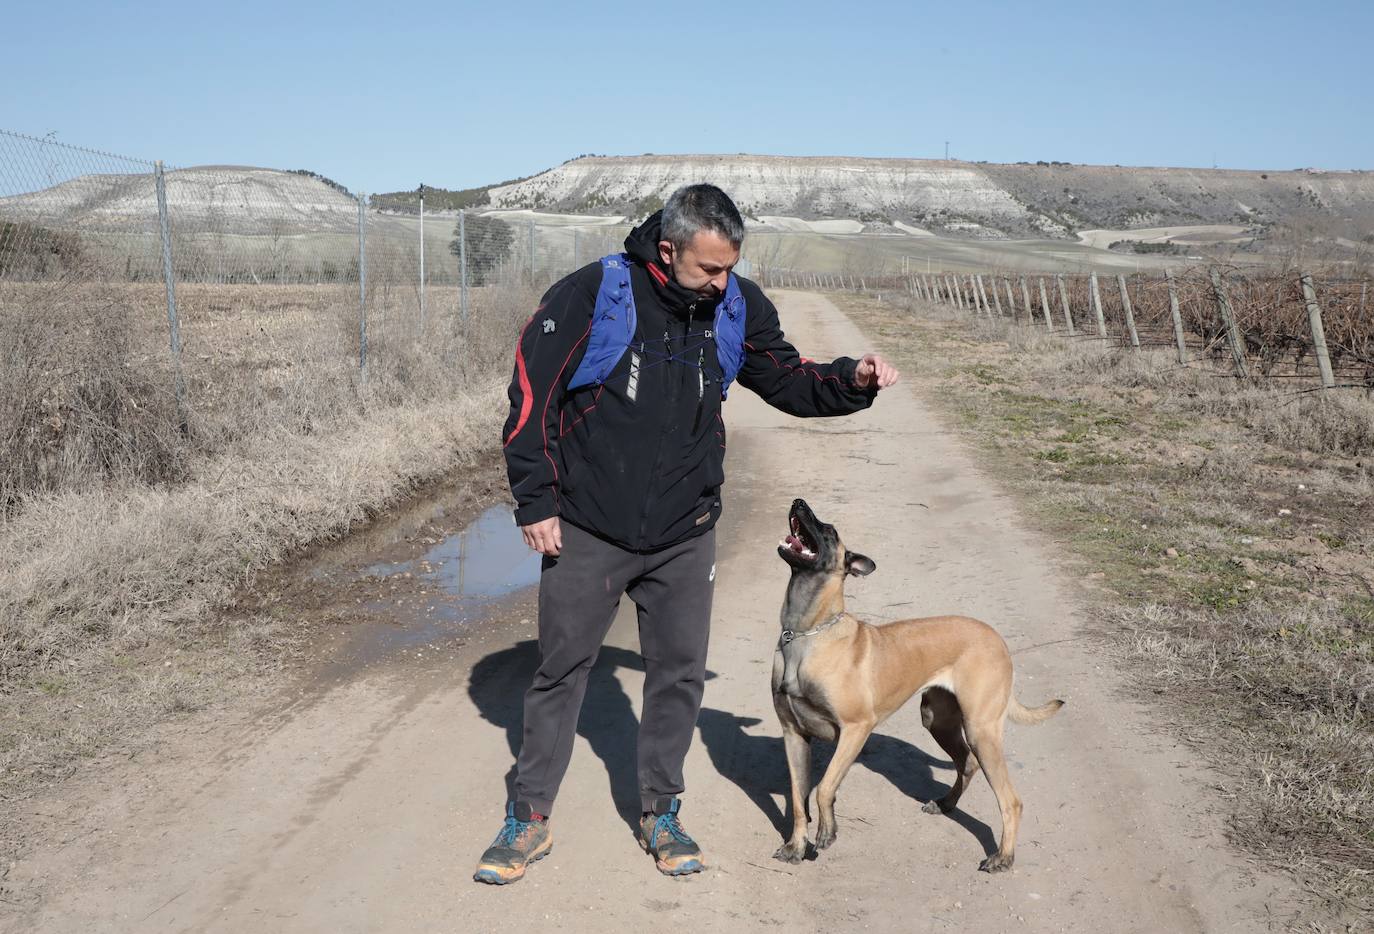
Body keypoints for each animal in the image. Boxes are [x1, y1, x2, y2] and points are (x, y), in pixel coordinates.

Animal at [774, 499, 1060, 873]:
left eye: (829, 531)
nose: (798, 502)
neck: (806, 633)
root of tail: (998, 640)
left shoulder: (855, 728)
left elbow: (823, 787)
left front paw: (827, 830)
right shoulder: (794, 735)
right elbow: (797, 798)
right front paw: (796, 846)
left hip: (981, 729)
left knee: (1011, 800)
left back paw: (1003, 857)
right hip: (938, 719)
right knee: (966, 763)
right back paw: (946, 803)